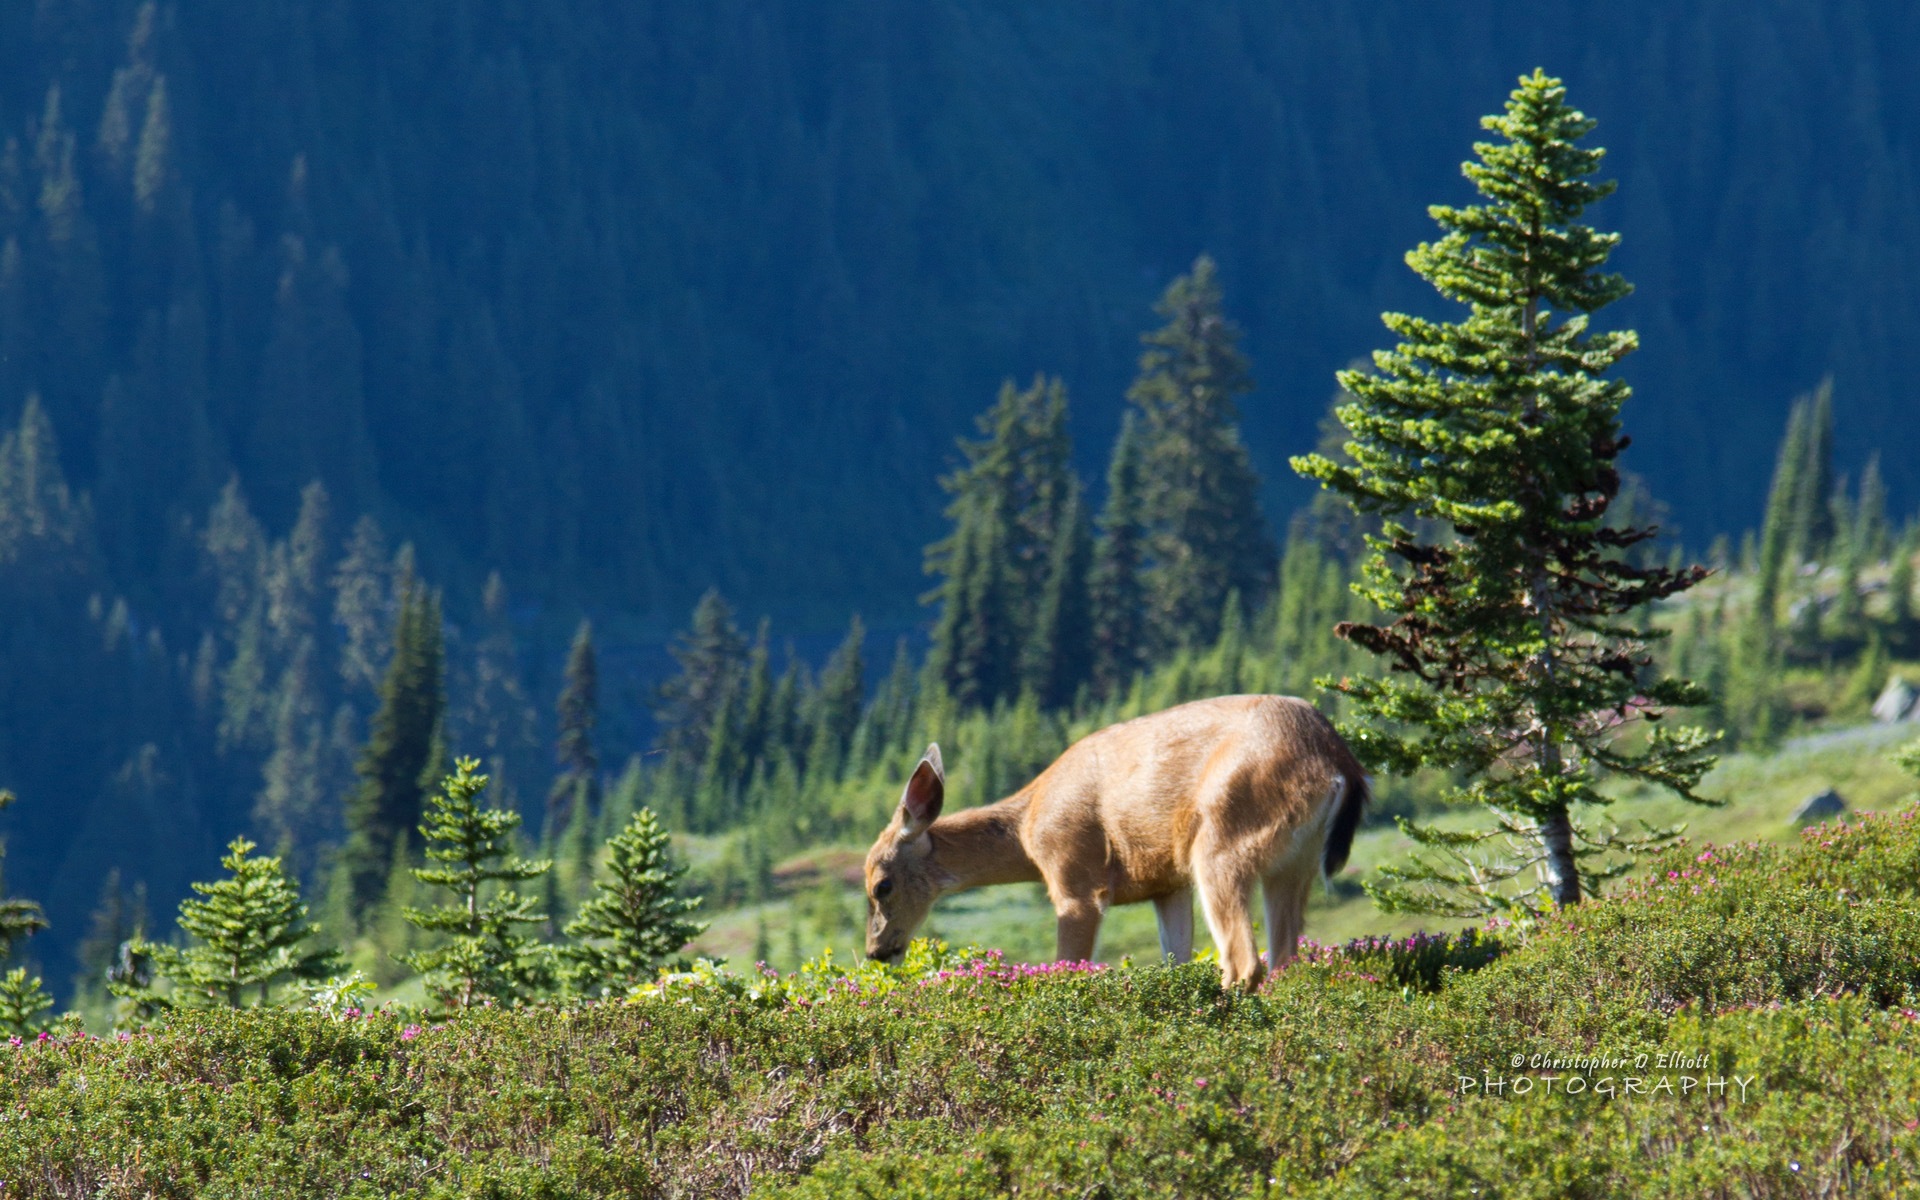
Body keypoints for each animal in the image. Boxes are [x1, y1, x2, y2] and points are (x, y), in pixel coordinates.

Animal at [864, 691, 1374, 983]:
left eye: (880, 885)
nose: (875, 952)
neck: (1028, 828)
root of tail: (1338, 762)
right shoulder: (1167, 884)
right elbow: (1176, 959)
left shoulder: (1074, 876)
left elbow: (1069, 966)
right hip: (1295, 862)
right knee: (1285, 959)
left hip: (1224, 839)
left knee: (1244, 961)